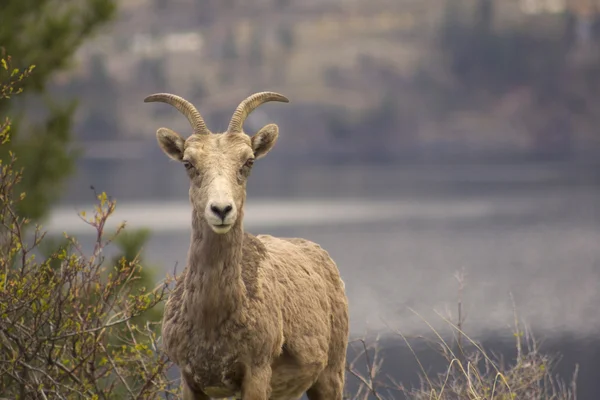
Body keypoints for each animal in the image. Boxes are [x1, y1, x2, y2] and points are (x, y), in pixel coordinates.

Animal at [145, 91, 350, 400]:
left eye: (248, 162)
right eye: (188, 163)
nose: (221, 209)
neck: (211, 321)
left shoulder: (256, 373)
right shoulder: (190, 379)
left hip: (331, 375)